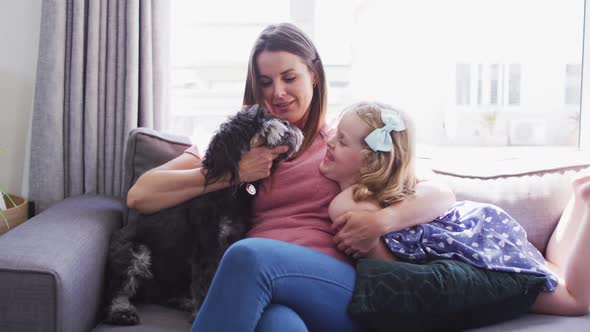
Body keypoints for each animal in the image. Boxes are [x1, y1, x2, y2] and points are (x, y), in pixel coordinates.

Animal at [103, 104, 302, 324]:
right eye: (257, 120)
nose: (287, 123)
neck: (230, 192)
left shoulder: (231, 241)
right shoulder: (207, 246)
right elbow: (205, 282)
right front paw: (202, 313)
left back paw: (183, 301)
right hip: (132, 252)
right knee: (118, 290)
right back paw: (122, 311)